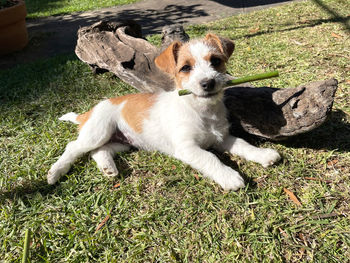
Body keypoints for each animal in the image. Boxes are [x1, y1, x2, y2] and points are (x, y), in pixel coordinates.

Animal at [47, 33, 282, 192]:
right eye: (185, 68)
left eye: (215, 61)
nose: (208, 83)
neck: (200, 110)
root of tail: (88, 112)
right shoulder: (187, 148)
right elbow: (210, 158)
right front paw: (229, 176)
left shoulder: (222, 138)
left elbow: (243, 144)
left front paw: (263, 154)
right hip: (98, 131)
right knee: (73, 147)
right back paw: (55, 172)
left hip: (122, 141)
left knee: (99, 151)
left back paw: (108, 168)